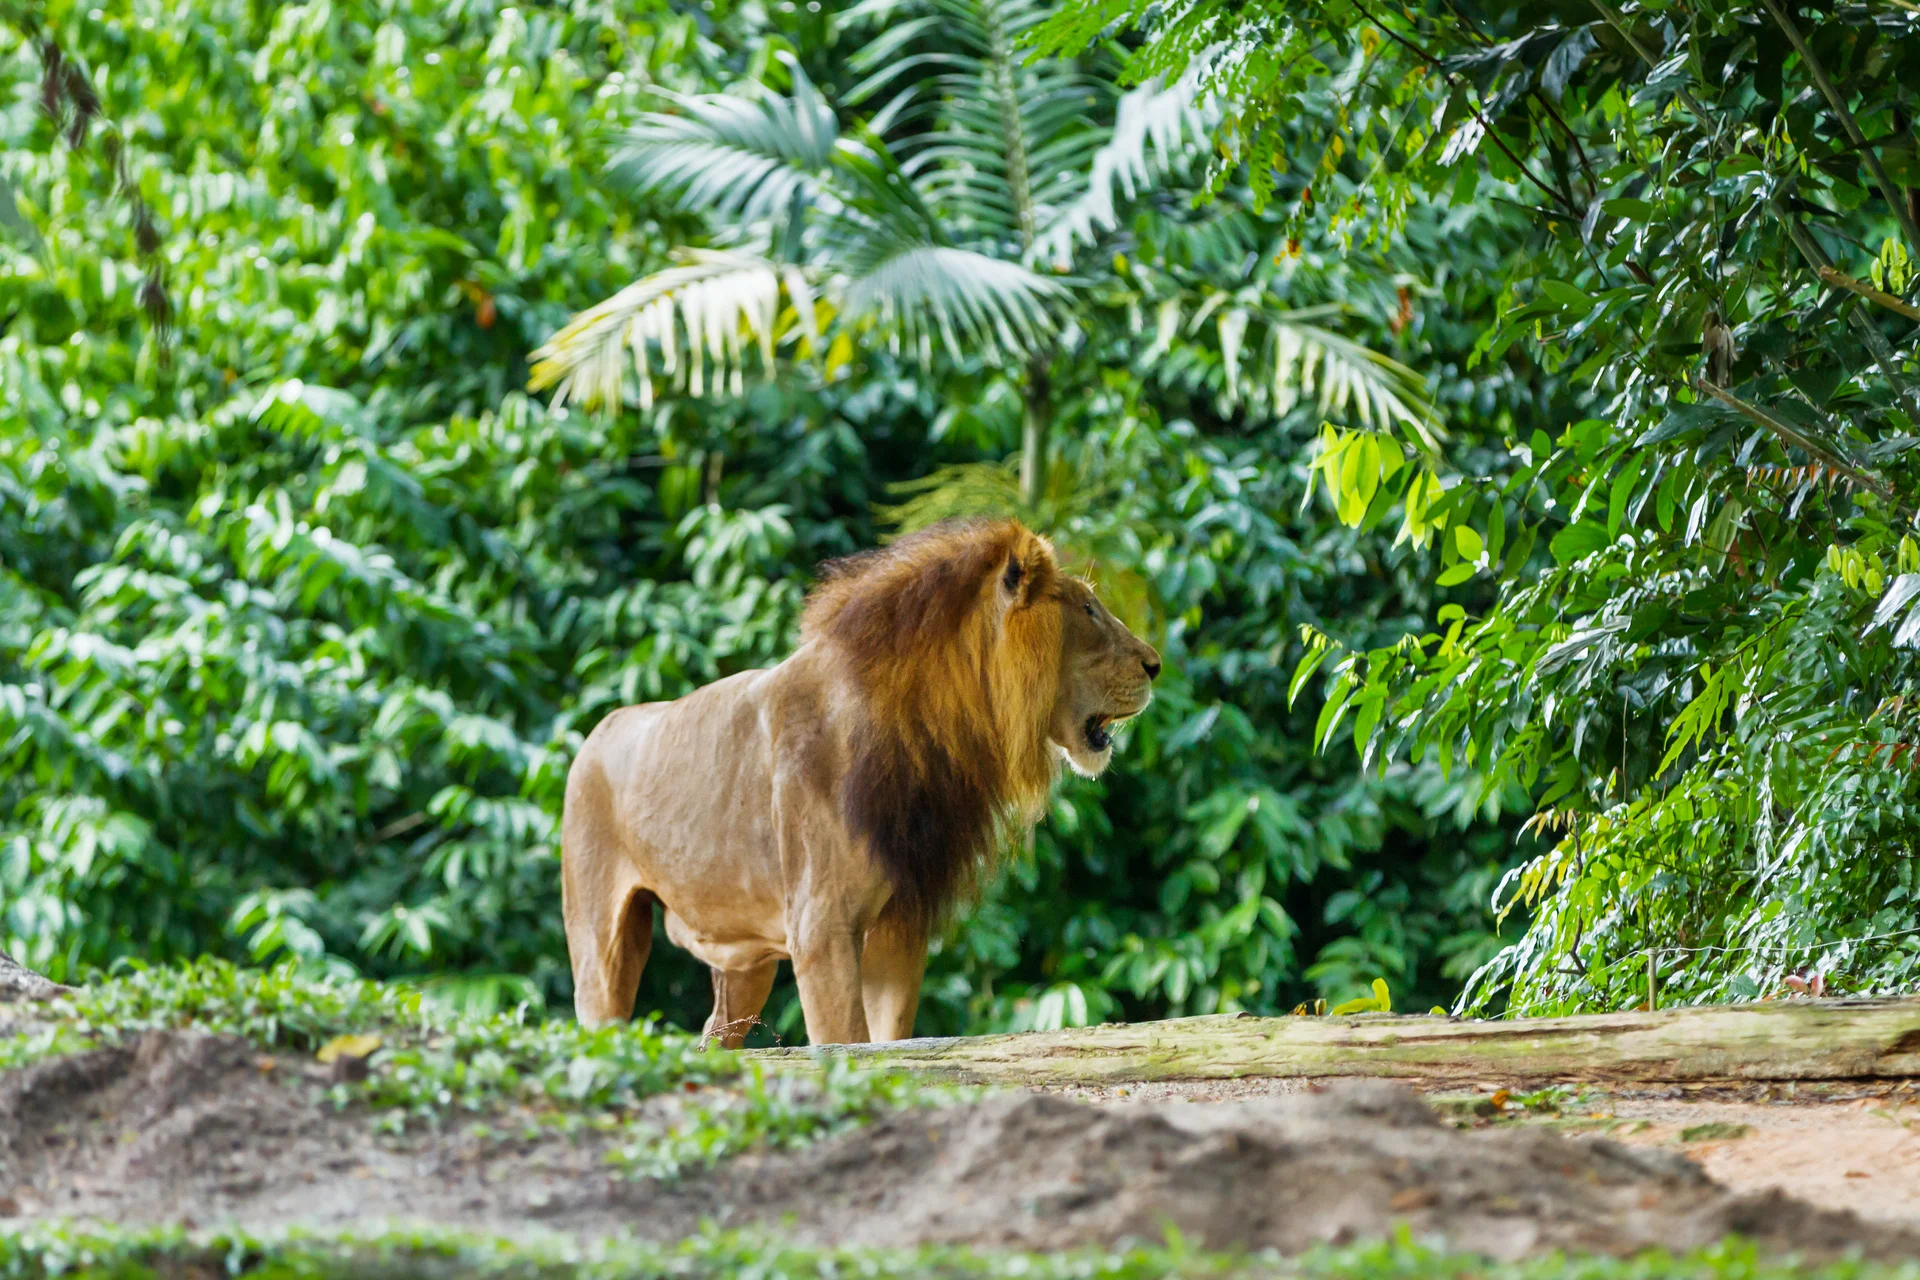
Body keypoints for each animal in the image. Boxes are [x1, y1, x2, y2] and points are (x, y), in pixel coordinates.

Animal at [560, 518, 1161, 1045]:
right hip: (600, 943)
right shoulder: (820, 929)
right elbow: (844, 1042)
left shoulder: (900, 927)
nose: (1156, 664)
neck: (932, 726)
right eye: (1089, 608)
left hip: (745, 963)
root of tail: (597, 731)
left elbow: (887, 1043)